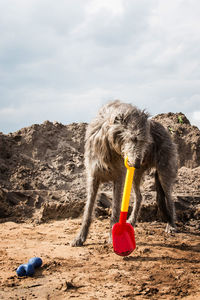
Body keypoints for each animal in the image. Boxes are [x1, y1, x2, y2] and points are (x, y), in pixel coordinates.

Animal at [71, 101, 177, 246]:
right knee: (140, 197)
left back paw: (171, 224)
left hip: (163, 173)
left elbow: (115, 210)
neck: (110, 146)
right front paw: (80, 237)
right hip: (135, 176)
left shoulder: (119, 178)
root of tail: (165, 129)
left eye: (144, 141)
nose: (137, 164)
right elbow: (88, 209)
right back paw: (132, 221)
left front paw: (113, 238)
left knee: (170, 198)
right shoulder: (94, 177)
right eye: (132, 138)